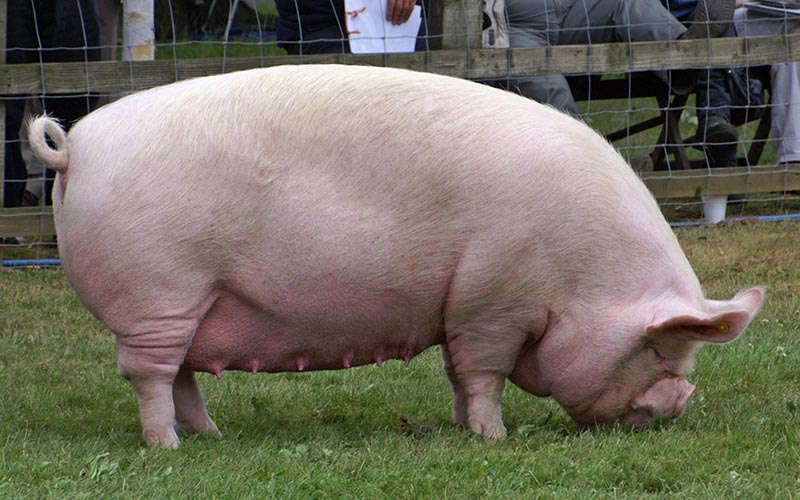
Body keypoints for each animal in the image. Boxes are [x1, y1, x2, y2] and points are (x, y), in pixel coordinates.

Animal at [28, 63, 764, 450]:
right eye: (663, 351)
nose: (684, 402)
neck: (580, 274)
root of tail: (76, 147)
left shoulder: (458, 305)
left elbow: (457, 373)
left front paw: (462, 428)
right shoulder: (494, 298)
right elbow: (486, 372)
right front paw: (494, 439)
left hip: (188, 301)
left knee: (181, 374)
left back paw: (210, 435)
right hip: (158, 293)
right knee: (150, 376)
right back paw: (170, 447)